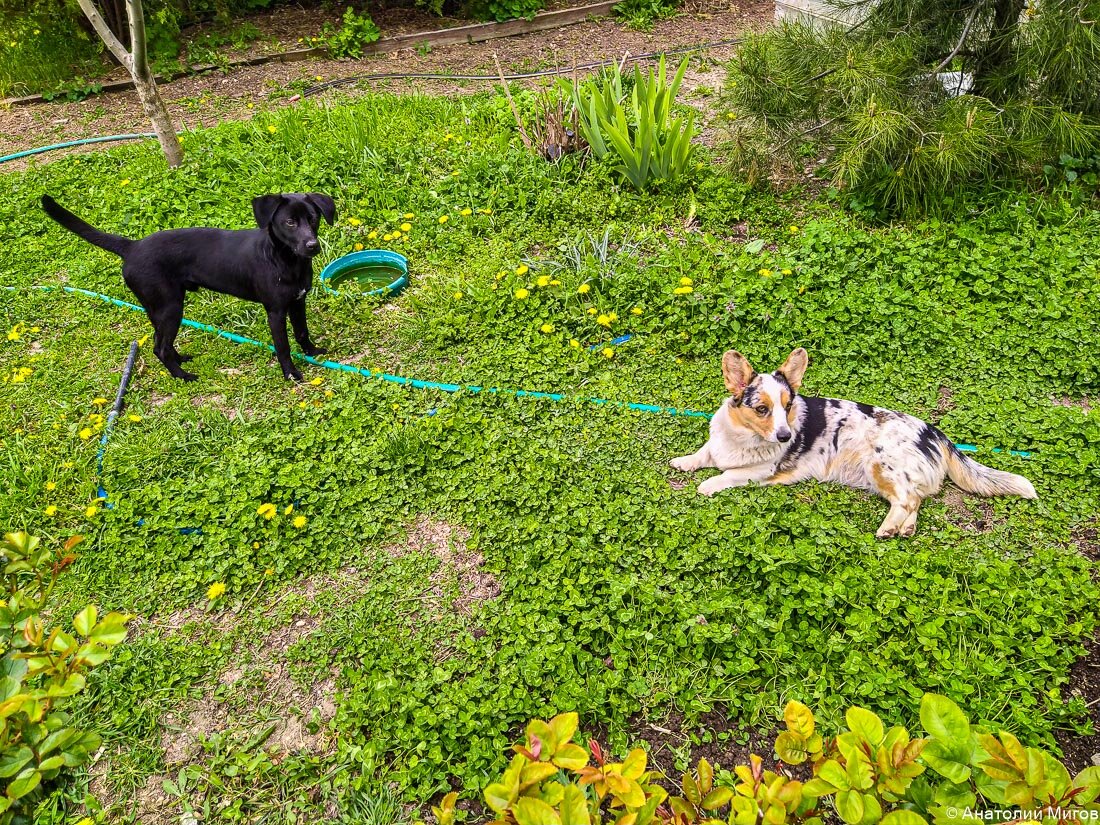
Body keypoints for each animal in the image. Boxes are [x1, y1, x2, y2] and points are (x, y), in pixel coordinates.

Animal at [41, 193, 334, 380]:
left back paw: (179, 361)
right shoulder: (275, 311)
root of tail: (132, 247)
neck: (286, 260)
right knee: (159, 347)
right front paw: (291, 373)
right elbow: (283, 346)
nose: (312, 246)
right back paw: (183, 376)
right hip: (171, 307)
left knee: (161, 342)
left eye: (313, 219)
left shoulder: (298, 301)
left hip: (158, 308)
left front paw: (313, 353)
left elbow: (302, 332)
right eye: (289, 222)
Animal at [668, 347, 1038, 536]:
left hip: (881, 465)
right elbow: (702, 454)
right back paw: (904, 529)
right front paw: (684, 462)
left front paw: (707, 485)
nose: (786, 435)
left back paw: (887, 529)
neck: (743, 436)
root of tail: (933, 431)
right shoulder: (716, 446)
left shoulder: (759, 472)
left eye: (787, 407)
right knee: (915, 500)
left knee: (905, 500)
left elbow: (727, 475)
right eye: (762, 409)